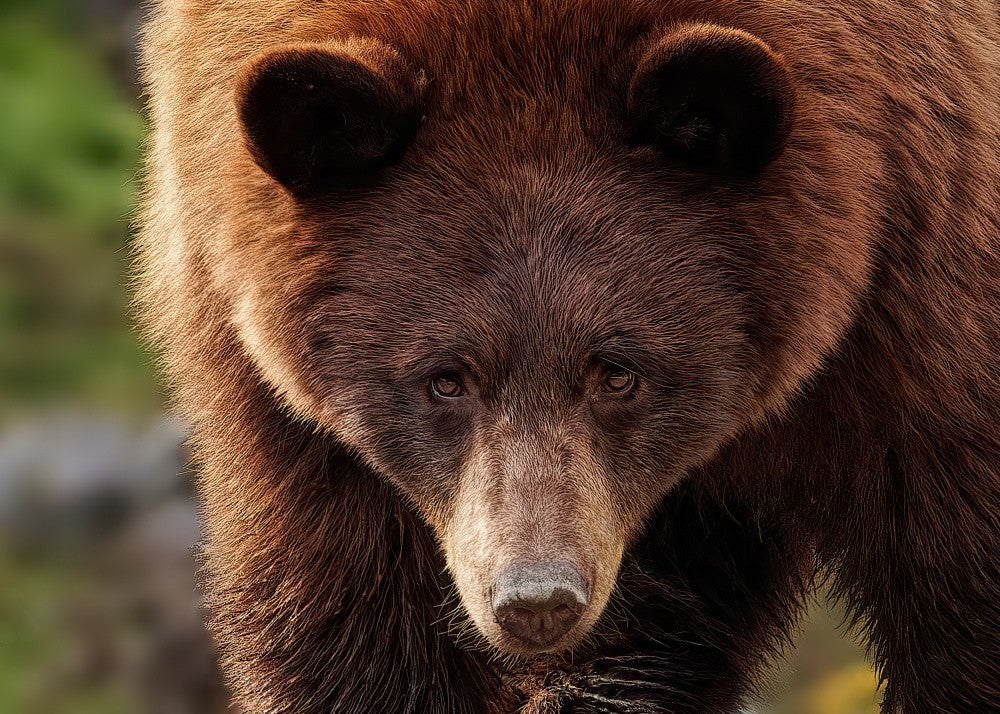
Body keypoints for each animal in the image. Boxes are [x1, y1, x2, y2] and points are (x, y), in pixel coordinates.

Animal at [136, 1, 1000, 712]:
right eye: (445, 380)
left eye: (617, 372)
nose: (536, 598)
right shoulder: (271, 389)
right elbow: (348, 619)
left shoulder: (924, 314)